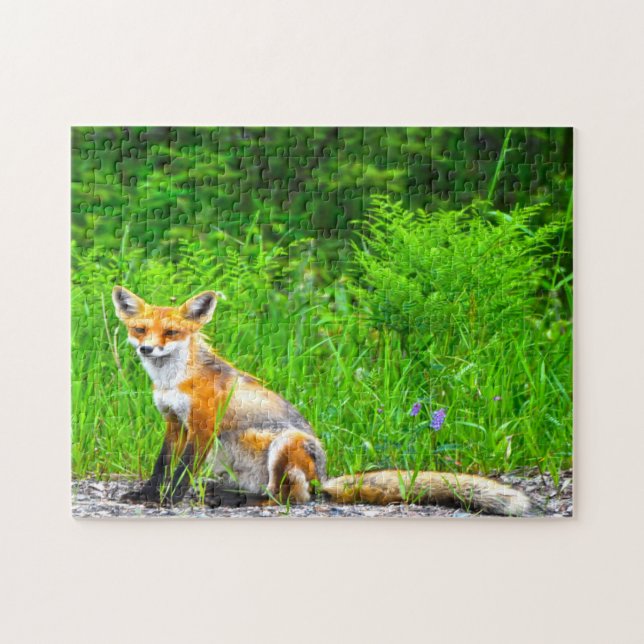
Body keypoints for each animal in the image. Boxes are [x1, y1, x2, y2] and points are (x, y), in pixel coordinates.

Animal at [112, 285, 534, 516]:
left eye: (171, 332)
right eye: (140, 329)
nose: (147, 349)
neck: (172, 382)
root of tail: (325, 477)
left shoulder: (201, 427)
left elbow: (180, 474)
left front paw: (166, 501)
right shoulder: (173, 423)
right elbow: (161, 466)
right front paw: (146, 495)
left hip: (286, 445)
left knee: (289, 498)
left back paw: (246, 503)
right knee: (274, 493)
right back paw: (228, 497)